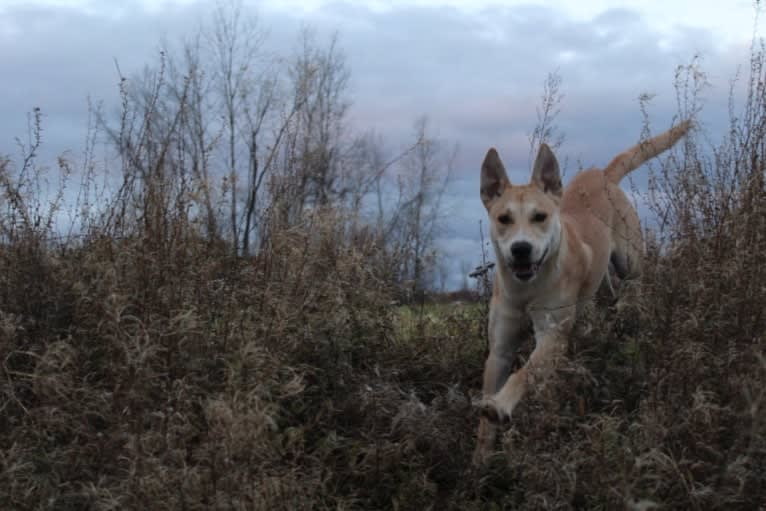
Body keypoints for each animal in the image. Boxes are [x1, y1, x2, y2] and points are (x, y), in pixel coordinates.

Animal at [474, 120, 696, 464]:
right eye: (504, 219)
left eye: (540, 216)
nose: (521, 249)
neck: (527, 289)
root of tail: (602, 173)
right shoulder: (500, 347)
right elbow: (492, 391)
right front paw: (480, 459)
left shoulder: (552, 338)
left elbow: (523, 374)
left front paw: (501, 404)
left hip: (630, 262)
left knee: (635, 286)